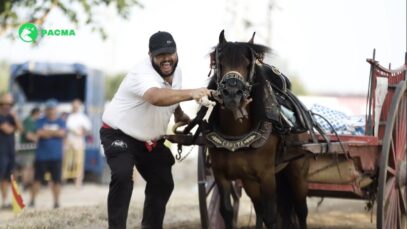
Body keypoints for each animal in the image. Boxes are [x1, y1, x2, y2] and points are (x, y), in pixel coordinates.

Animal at [206, 30, 310, 229]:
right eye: (220, 64)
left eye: (248, 65)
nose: (232, 94)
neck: (236, 136)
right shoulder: (221, 175)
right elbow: (227, 211)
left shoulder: (267, 176)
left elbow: (271, 216)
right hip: (249, 180)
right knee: (259, 207)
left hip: (297, 169)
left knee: (301, 210)